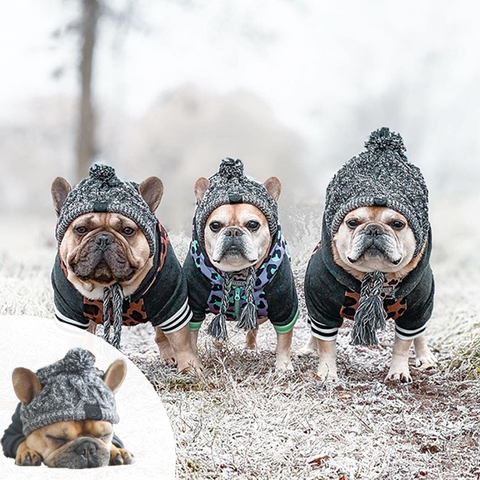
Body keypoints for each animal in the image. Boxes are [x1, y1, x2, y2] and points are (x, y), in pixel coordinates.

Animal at [2, 348, 133, 468]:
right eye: (57, 438)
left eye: (105, 434)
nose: (87, 448)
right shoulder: (11, 433)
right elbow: (22, 441)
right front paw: (27, 452)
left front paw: (117, 450)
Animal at [51, 165, 202, 372]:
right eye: (81, 229)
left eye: (128, 230)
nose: (103, 239)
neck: (109, 285)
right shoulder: (70, 313)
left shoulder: (171, 301)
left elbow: (180, 339)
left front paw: (190, 367)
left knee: (162, 333)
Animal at [183, 158, 298, 372]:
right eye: (215, 225)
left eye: (253, 224)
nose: (233, 232)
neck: (237, 274)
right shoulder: (193, 307)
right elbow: (190, 338)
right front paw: (193, 364)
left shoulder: (284, 306)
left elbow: (284, 339)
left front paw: (283, 366)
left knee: (253, 326)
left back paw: (250, 348)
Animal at [306, 127, 436, 382]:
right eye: (352, 222)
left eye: (397, 224)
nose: (374, 229)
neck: (376, 276)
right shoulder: (321, 309)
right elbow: (327, 344)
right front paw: (326, 372)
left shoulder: (415, 311)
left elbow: (403, 344)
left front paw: (398, 372)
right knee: (313, 331)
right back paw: (307, 348)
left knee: (420, 334)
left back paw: (425, 357)